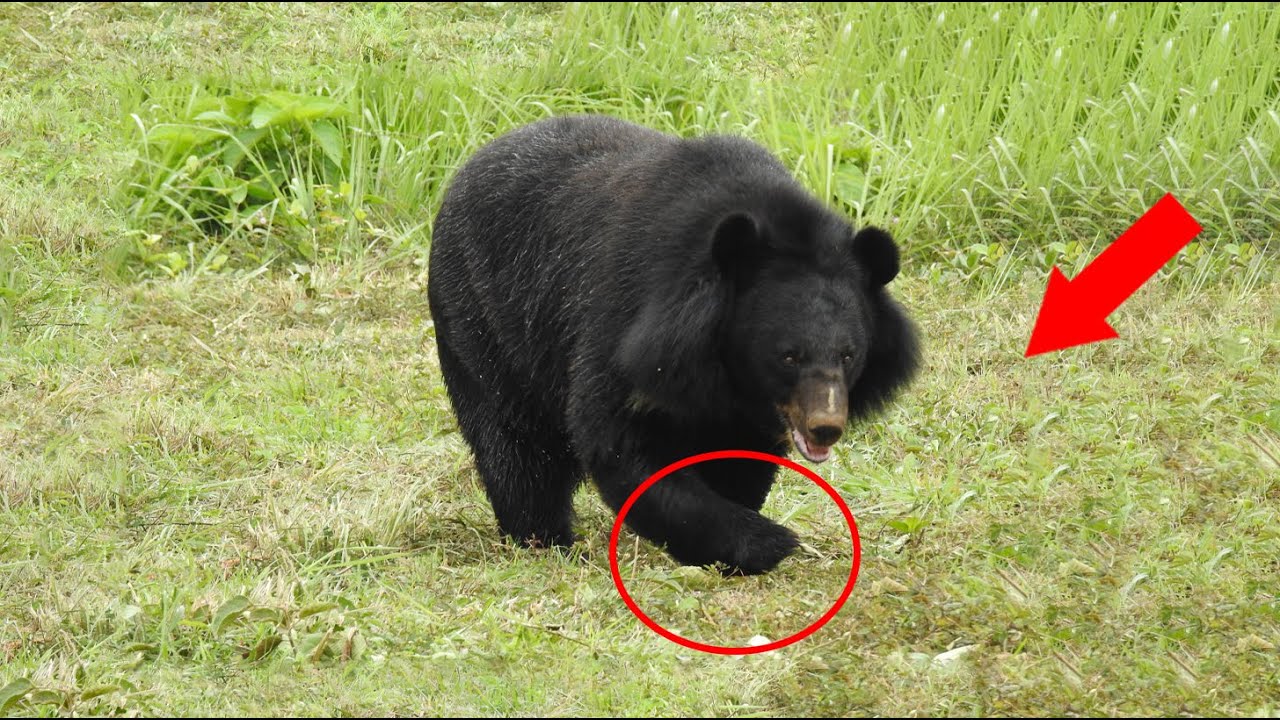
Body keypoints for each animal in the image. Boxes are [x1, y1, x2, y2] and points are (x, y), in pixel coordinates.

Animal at [427, 114, 920, 575]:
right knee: (516, 445)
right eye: (788, 356)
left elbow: (740, 457)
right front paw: (768, 541)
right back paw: (542, 537)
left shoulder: (743, 409)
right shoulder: (629, 323)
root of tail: (466, 168)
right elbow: (618, 441)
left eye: (849, 355)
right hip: (485, 322)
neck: (721, 367)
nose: (825, 427)